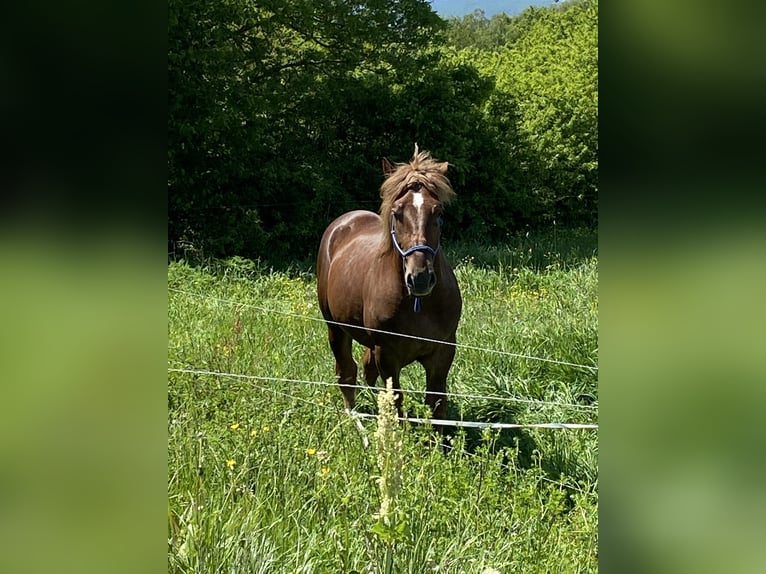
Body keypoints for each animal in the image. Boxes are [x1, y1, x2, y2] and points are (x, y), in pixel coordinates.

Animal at [316, 145, 462, 428]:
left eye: (438, 212)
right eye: (397, 213)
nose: (419, 278)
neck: (419, 306)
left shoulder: (443, 352)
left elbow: (436, 404)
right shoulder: (387, 354)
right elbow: (395, 402)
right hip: (335, 328)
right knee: (346, 372)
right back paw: (354, 419)